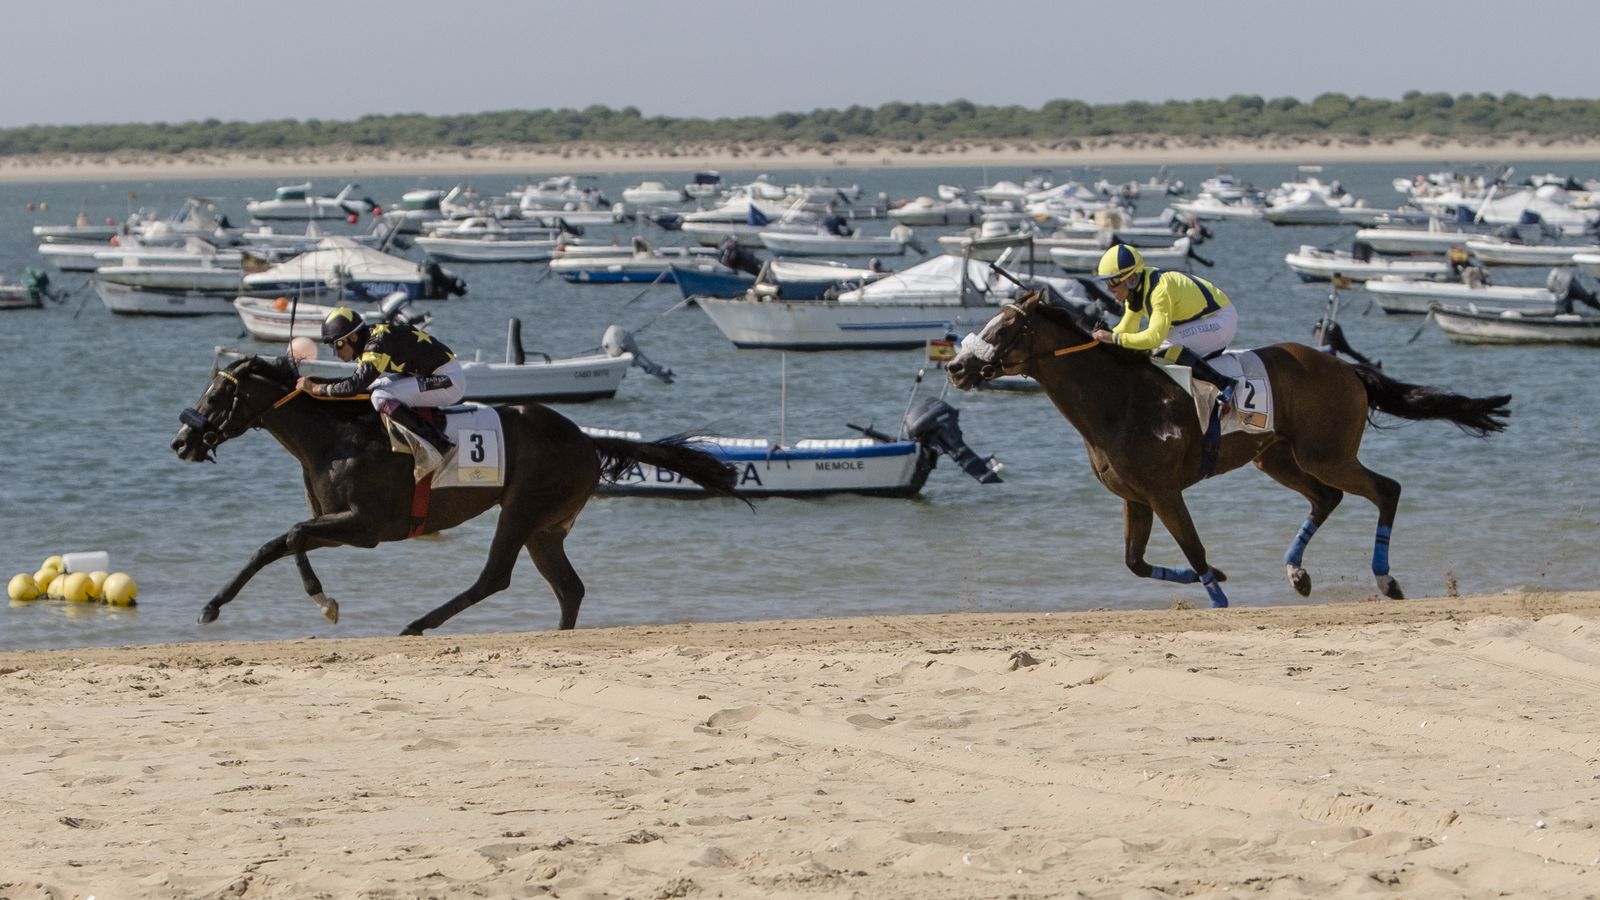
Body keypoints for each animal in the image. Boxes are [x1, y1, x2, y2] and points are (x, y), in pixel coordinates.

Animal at [171, 354, 737, 634]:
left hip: (523, 508)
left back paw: (417, 624)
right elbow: (271, 546)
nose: (181, 442)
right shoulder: (338, 524)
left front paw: (323, 600)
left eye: (217, 393)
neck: (334, 438)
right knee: (568, 587)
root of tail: (584, 438)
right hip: (547, 527)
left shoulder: (367, 527)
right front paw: (211, 607)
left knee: (495, 577)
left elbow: (291, 536)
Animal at [945, 293, 1510, 608]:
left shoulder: (1165, 492)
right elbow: (1136, 563)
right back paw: (1298, 574)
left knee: (1386, 490)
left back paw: (1385, 579)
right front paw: (1217, 575)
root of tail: (1347, 367)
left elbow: (1193, 551)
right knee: (1326, 499)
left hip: (1326, 454)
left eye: (1005, 327)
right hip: (1277, 456)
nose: (955, 367)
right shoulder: (1135, 497)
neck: (1117, 401)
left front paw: (1217, 593)